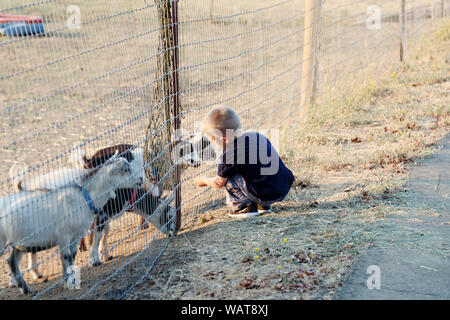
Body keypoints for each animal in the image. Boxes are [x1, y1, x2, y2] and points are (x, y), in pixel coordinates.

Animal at [0, 154, 142, 294]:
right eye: (126, 169)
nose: (140, 179)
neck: (84, 199)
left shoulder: (77, 235)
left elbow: (72, 256)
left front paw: (72, 279)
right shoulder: (64, 236)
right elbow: (66, 256)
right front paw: (67, 281)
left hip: (18, 244)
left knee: (11, 261)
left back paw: (24, 288)